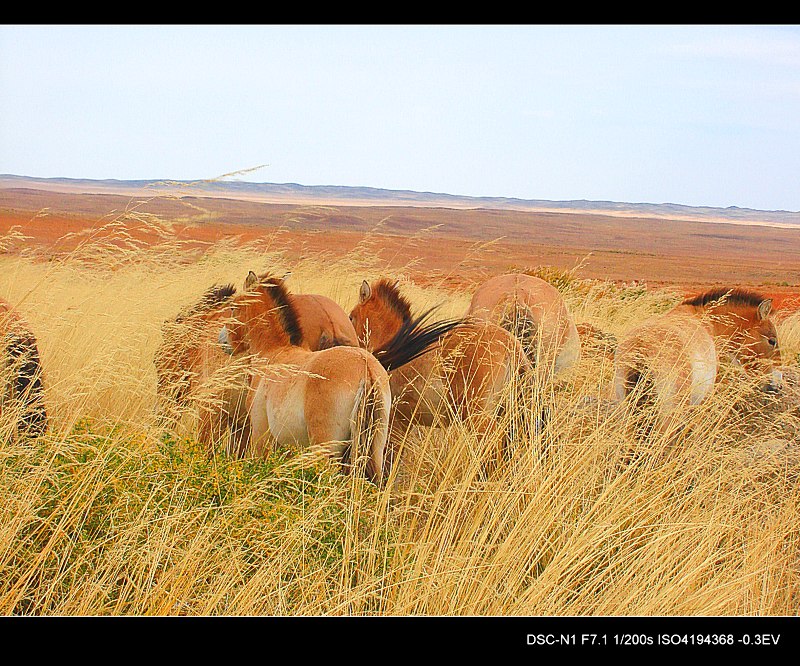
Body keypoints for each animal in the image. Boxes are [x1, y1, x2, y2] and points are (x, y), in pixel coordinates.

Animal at [220, 270, 396, 482]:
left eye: (232, 307)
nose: (222, 340)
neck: (275, 352)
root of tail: (365, 368)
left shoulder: (262, 437)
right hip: (375, 451)